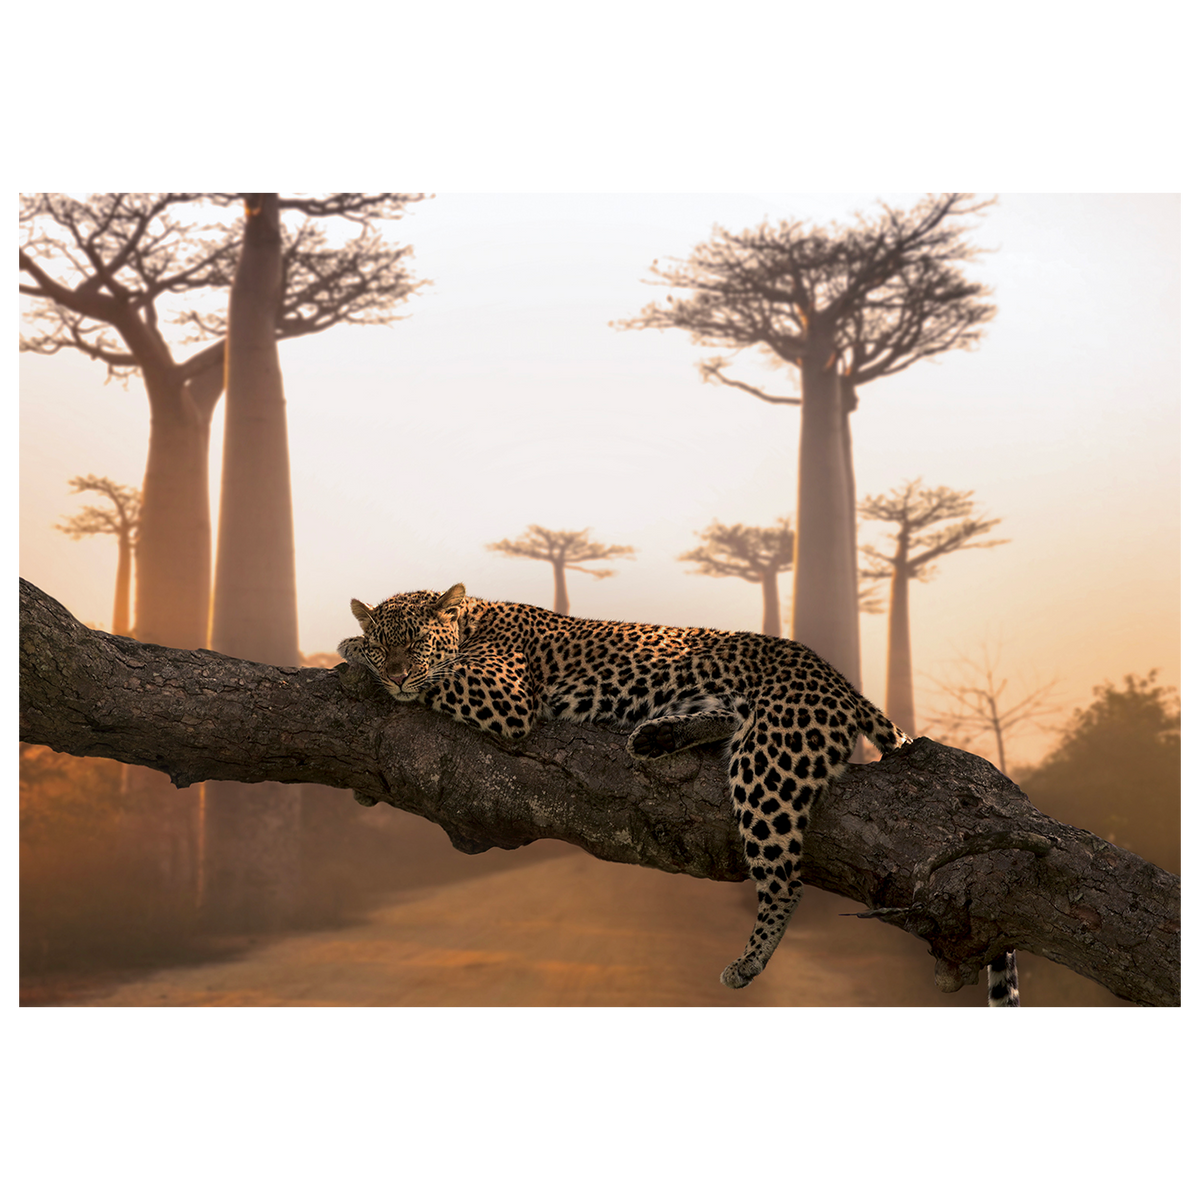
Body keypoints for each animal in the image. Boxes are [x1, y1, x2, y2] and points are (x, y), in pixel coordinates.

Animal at [337, 582, 928, 993]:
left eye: (416, 642)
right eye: (387, 644)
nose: (395, 675)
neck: (474, 617)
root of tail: (838, 678)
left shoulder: (503, 695)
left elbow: (437, 677)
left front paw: (349, 647)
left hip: (769, 764)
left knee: (786, 881)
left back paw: (748, 961)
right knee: (723, 724)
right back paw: (656, 735)